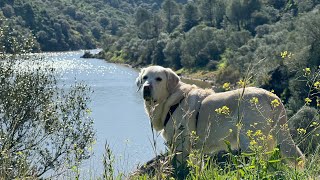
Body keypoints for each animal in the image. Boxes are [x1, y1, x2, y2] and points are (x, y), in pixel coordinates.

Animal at [136, 65, 304, 169]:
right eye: (145, 77)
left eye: (158, 78)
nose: (146, 88)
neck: (172, 100)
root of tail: (272, 97)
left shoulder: (180, 145)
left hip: (250, 141)